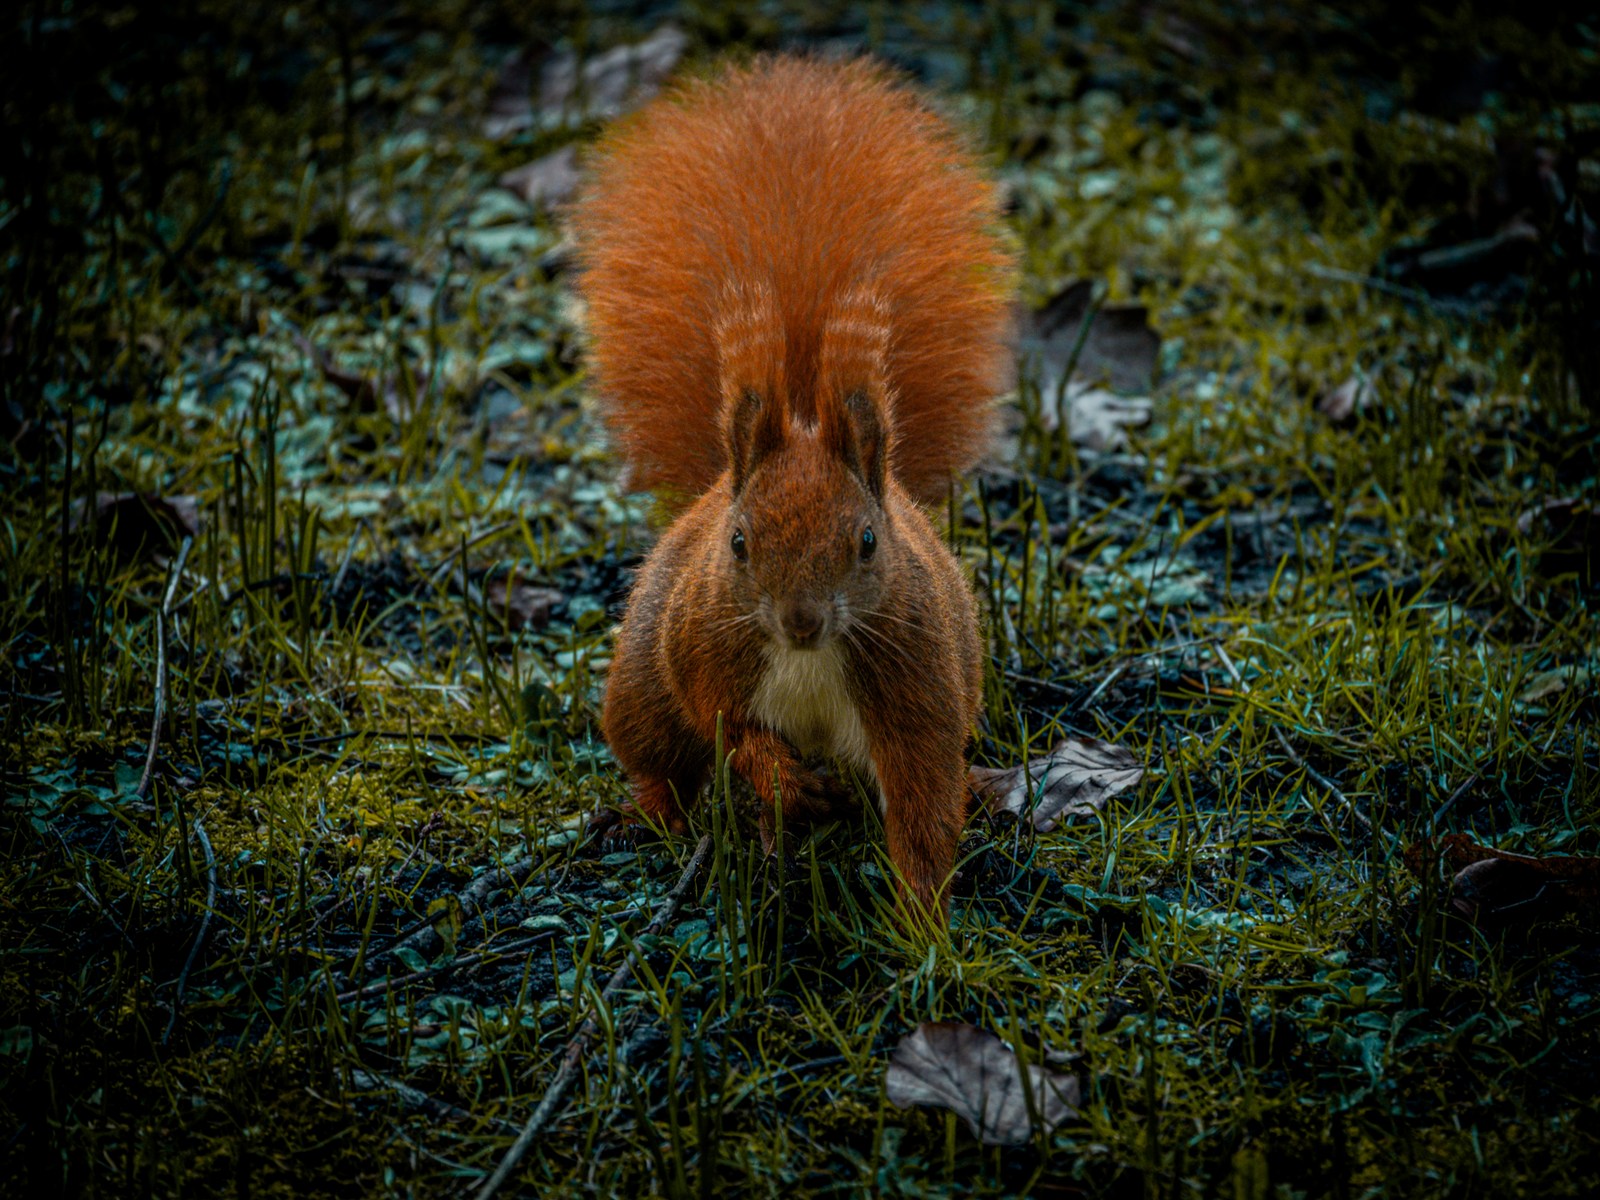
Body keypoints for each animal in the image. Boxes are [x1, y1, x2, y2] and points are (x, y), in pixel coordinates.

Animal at [573, 55, 1015, 926]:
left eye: (868, 541)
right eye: (740, 542)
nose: (802, 620)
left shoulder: (916, 691)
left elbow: (923, 799)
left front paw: (923, 922)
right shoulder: (706, 652)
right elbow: (730, 730)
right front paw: (776, 776)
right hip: (640, 680)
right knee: (660, 756)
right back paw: (662, 819)